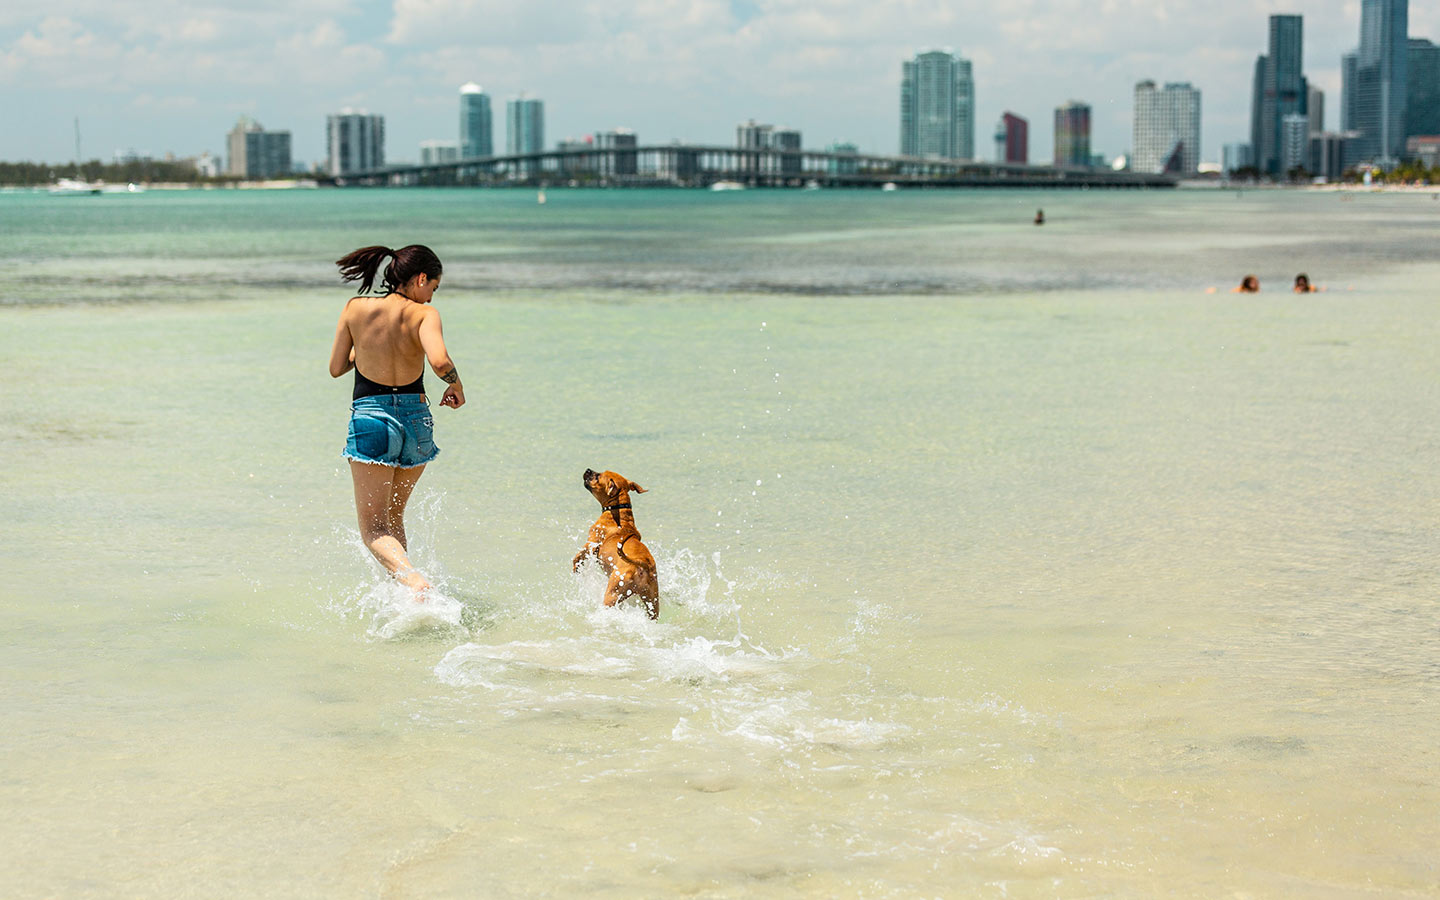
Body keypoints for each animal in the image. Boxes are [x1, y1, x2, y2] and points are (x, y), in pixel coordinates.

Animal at [576, 466, 659, 622]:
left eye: (598, 476)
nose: (588, 469)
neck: (618, 511)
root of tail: (642, 564)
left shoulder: (591, 542)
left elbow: (578, 556)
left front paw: (576, 568)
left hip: (612, 593)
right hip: (653, 601)